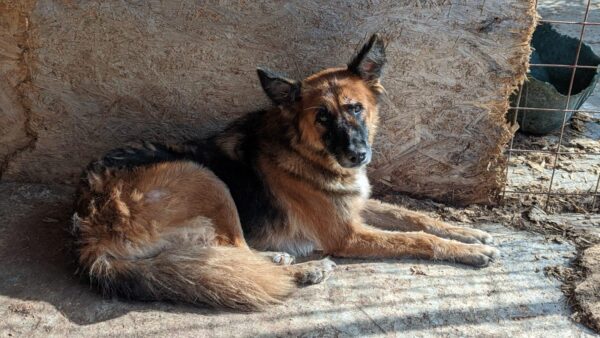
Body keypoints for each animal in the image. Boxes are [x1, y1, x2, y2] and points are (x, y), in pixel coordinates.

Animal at [72, 35, 500, 312]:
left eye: (355, 108)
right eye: (322, 117)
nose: (357, 155)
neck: (306, 153)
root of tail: (89, 228)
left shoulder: (356, 206)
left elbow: (414, 216)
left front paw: (468, 232)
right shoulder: (347, 235)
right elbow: (416, 237)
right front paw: (470, 251)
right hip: (204, 177)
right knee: (236, 257)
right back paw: (303, 269)